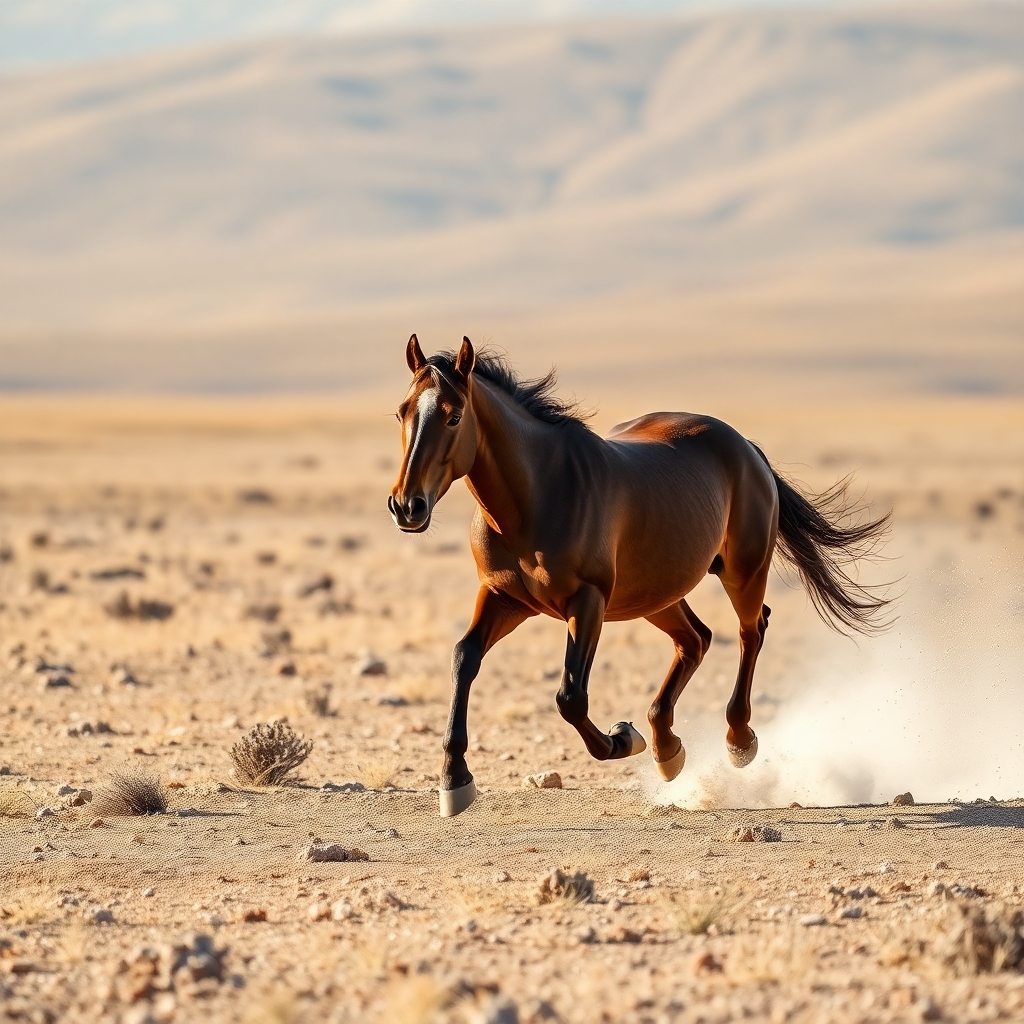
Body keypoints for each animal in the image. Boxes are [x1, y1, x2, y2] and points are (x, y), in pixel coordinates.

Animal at [389, 335, 891, 816]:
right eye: (402, 411)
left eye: (454, 416)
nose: (407, 506)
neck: (537, 495)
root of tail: (747, 448)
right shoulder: (503, 597)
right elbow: (464, 658)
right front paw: (454, 781)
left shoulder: (587, 602)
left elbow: (570, 697)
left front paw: (622, 738)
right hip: (655, 594)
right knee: (697, 639)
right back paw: (668, 750)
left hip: (741, 573)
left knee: (751, 630)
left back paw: (737, 740)